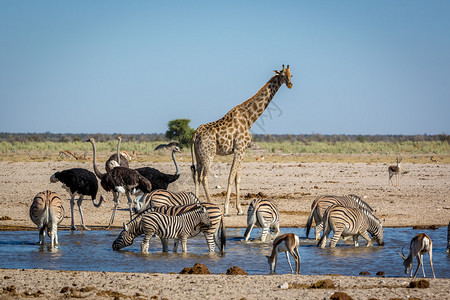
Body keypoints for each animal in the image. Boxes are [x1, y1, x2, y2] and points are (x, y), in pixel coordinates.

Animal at [191, 65, 294, 216]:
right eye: (282, 75)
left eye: (291, 75)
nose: (290, 84)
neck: (249, 118)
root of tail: (195, 134)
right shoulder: (239, 149)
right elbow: (231, 176)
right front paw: (226, 209)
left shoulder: (242, 151)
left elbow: (237, 179)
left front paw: (239, 209)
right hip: (208, 154)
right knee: (203, 177)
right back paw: (211, 204)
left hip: (199, 156)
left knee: (197, 176)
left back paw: (197, 204)